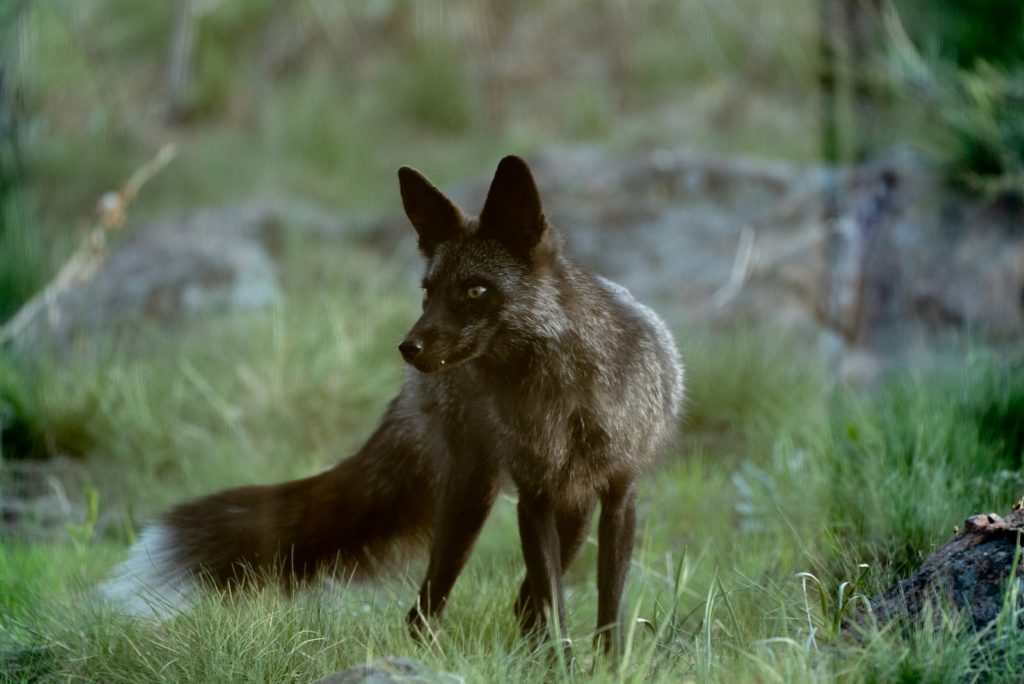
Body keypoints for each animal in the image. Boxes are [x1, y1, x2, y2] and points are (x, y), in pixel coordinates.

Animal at [103, 153, 684, 651]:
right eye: (427, 292)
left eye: (475, 291)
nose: (408, 348)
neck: (563, 401)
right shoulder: (534, 496)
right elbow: (554, 605)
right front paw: (561, 664)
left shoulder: (619, 495)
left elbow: (605, 608)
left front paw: (606, 665)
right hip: (470, 502)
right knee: (427, 609)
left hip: (570, 515)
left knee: (521, 601)